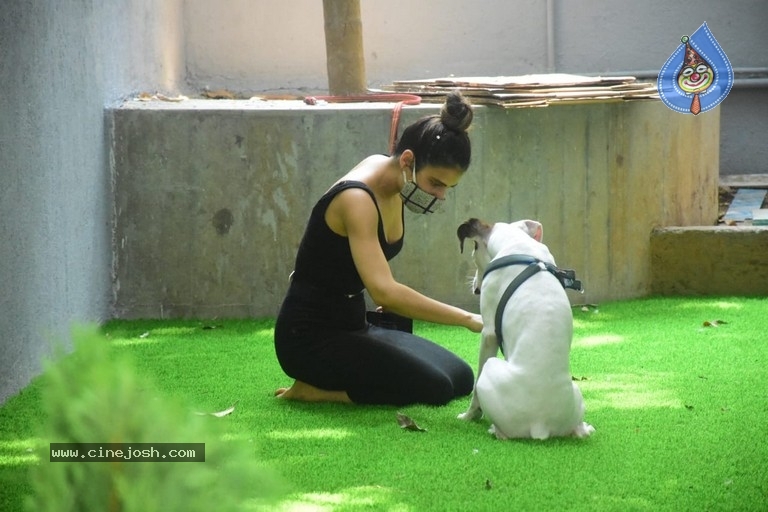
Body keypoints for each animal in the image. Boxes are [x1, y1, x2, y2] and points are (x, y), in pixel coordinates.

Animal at [456, 217, 592, 440]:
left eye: (474, 248)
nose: (475, 288)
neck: (517, 244)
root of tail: (540, 426)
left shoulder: (489, 334)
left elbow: (475, 391)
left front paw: (469, 416)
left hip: (491, 368)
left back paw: (495, 430)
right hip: (576, 393)